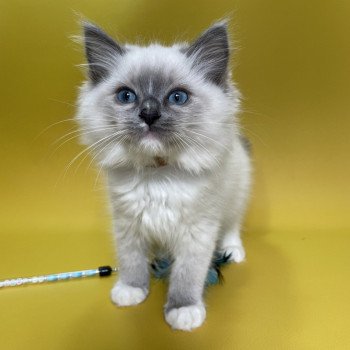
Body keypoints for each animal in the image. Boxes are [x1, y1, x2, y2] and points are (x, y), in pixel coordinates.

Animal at [76, 19, 252, 330]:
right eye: (126, 96)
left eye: (177, 97)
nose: (149, 113)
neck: (157, 176)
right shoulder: (128, 225)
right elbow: (131, 261)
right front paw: (132, 290)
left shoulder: (197, 232)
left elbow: (187, 275)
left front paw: (183, 310)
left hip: (236, 195)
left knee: (232, 226)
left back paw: (234, 251)